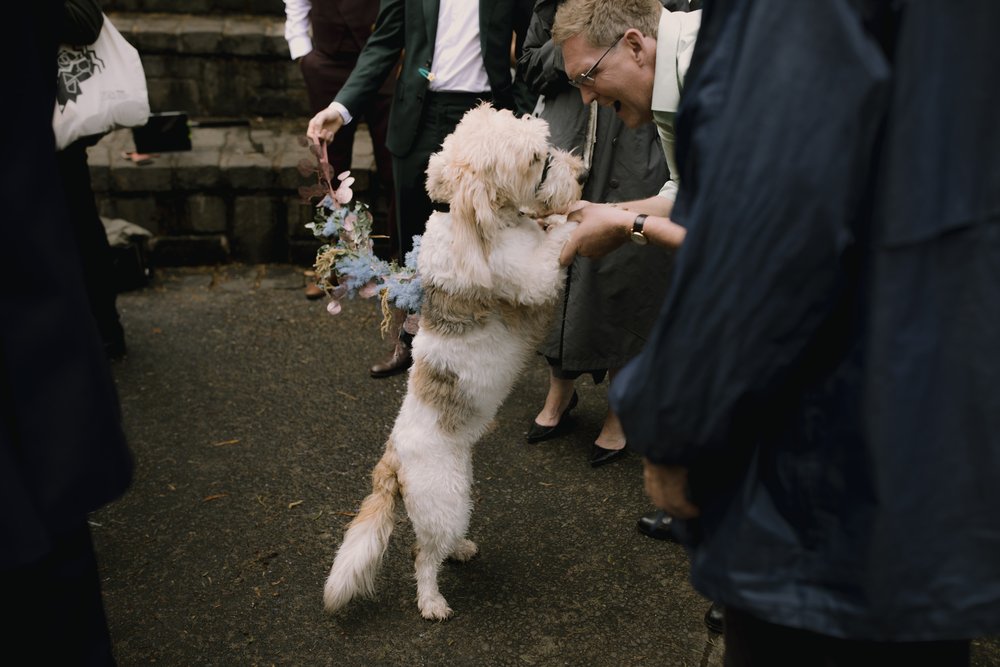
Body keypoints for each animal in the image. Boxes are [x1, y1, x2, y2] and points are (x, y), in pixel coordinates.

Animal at [320, 103, 584, 620]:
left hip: (457, 490)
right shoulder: (534, 278)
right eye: (536, 160)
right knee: (422, 556)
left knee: (438, 543)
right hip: (442, 498)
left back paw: (461, 549)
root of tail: (392, 460)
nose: (581, 172)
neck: (476, 218)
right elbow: (553, 246)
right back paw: (432, 602)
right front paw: (574, 220)